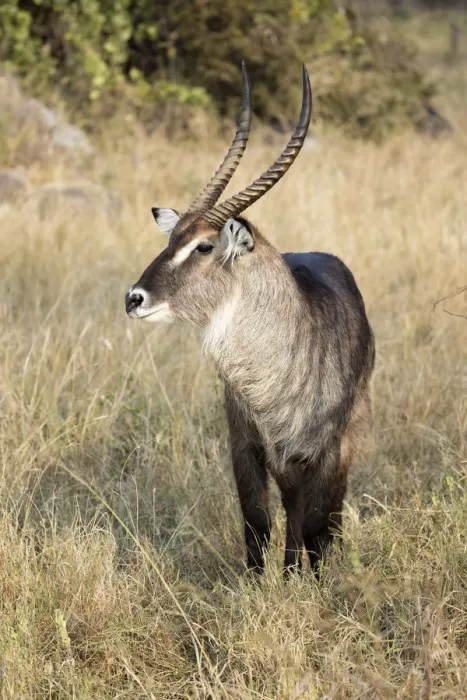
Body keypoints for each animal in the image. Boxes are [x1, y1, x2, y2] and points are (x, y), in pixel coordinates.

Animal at [126, 64, 375, 576]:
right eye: (171, 239)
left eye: (204, 246)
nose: (134, 298)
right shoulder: (245, 445)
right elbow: (256, 524)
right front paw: (263, 586)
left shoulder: (326, 450)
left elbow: (319, 525)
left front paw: (318, 586)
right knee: (291, 509)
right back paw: (290, 570)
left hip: (347, 436)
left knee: (326, 513)